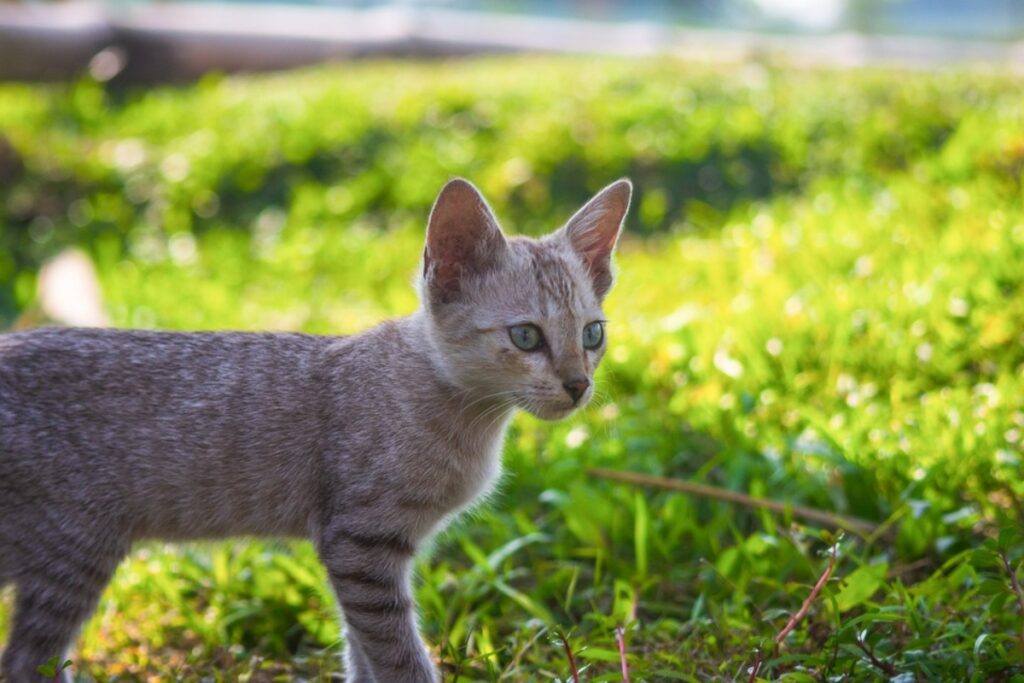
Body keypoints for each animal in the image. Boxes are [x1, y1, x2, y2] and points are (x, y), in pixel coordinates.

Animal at [0, 178, 630, 683]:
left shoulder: (361, 554)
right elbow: (398, 655)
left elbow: (361, 651)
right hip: (74, 550)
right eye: (526, 336)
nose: (578, 385)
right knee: (26, 663)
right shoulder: (361, 543)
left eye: (592, 334)